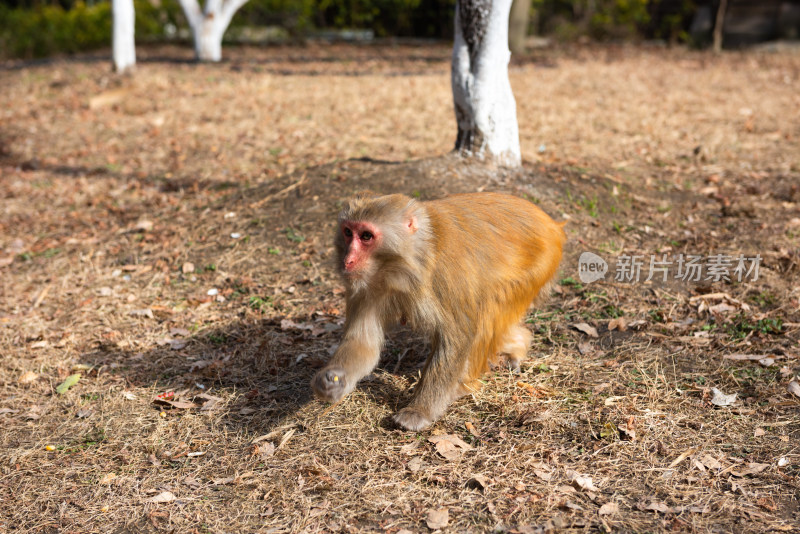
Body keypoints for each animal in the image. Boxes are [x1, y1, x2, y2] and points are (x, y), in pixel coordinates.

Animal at [310, 191, 564, 434]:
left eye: (366, 236)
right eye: (347, 232)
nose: (348, 260)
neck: (413, 258)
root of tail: (551, 224)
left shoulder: (447, 272)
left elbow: (458, 337)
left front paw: (420, 411)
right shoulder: (364, 286)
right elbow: (363, 343)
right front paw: (332, 379)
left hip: (537, 266)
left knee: (486, 314)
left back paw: (463, 385)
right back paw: (518, 345)